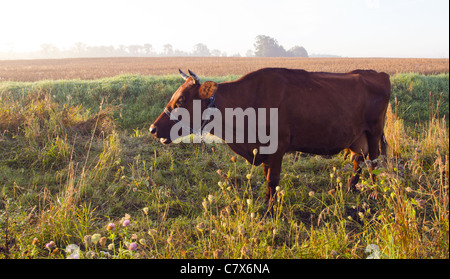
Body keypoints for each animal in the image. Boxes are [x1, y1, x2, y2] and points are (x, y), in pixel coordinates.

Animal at [150, 68, 390, 210]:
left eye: (181, 100)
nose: (153, 128)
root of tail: (376, 73)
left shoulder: (277, 147)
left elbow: (272, 179)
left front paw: (270, 209)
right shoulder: (263, 150)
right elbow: (267, 177)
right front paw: (267, 202)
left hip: (374, 132)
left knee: (373, 163)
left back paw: (376, 194)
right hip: (357, 138)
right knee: (358, 161)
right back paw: (348, 190)